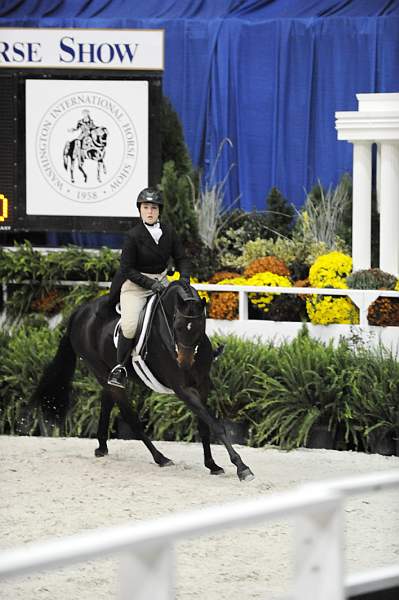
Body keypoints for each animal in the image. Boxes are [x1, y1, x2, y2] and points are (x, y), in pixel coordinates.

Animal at [32, 282, 255, 482]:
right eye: (177, 326)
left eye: (200, 326)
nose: (184, 363)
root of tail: (80, 311)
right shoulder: (183, 389)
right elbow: (216, 425)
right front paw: (242, 468)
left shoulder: (202, 386)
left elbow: (206, 425)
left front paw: (212, 465)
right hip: (101, 372)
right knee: (131, 419)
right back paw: (160, 458)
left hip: (108, 378)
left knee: (106, 404)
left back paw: (102, 447)